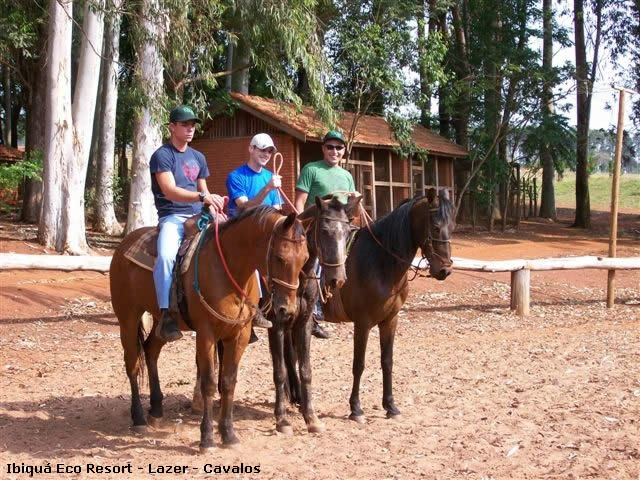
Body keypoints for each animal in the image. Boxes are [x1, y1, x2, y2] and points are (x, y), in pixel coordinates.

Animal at [109, 206, 308, 450]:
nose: (287, 310)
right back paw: (138, 418)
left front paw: (228, 433)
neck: (229, 270)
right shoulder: (206, 334)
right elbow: (209, 384)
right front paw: (207, 438)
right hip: (127, 318)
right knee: (133, 365)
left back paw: (156, 410)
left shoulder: (239, 335)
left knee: (150, 350)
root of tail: (124, 245)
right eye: (280, 257)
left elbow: (229, 381)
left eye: (305, 259)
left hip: (160, 322)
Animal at [284, 189, 456, 422]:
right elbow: (359, 364)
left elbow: (387, 361)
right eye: (436, 226)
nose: (444, 270)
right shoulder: (362, 323)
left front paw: (390, 406)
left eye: (452, 226)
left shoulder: (390, 320)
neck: (380, 261)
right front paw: (356, 408)